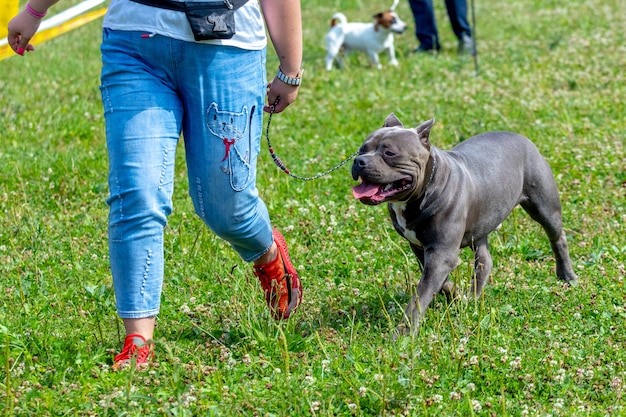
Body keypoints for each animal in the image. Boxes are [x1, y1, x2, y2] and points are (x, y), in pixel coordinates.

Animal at [352, 114, 576, 334]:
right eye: (362, 149)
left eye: (389, 153)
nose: (359, 161)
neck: (426, 187)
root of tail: (522, 137)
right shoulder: (423, 248)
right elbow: (440, 283)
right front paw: (456, 296)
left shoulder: (441, 254)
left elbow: (419, 296)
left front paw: (404, 333)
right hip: (480, 227)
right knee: (485, 261)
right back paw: (473, 296)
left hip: (544, 208)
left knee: (558, 238)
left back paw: (567, 276)